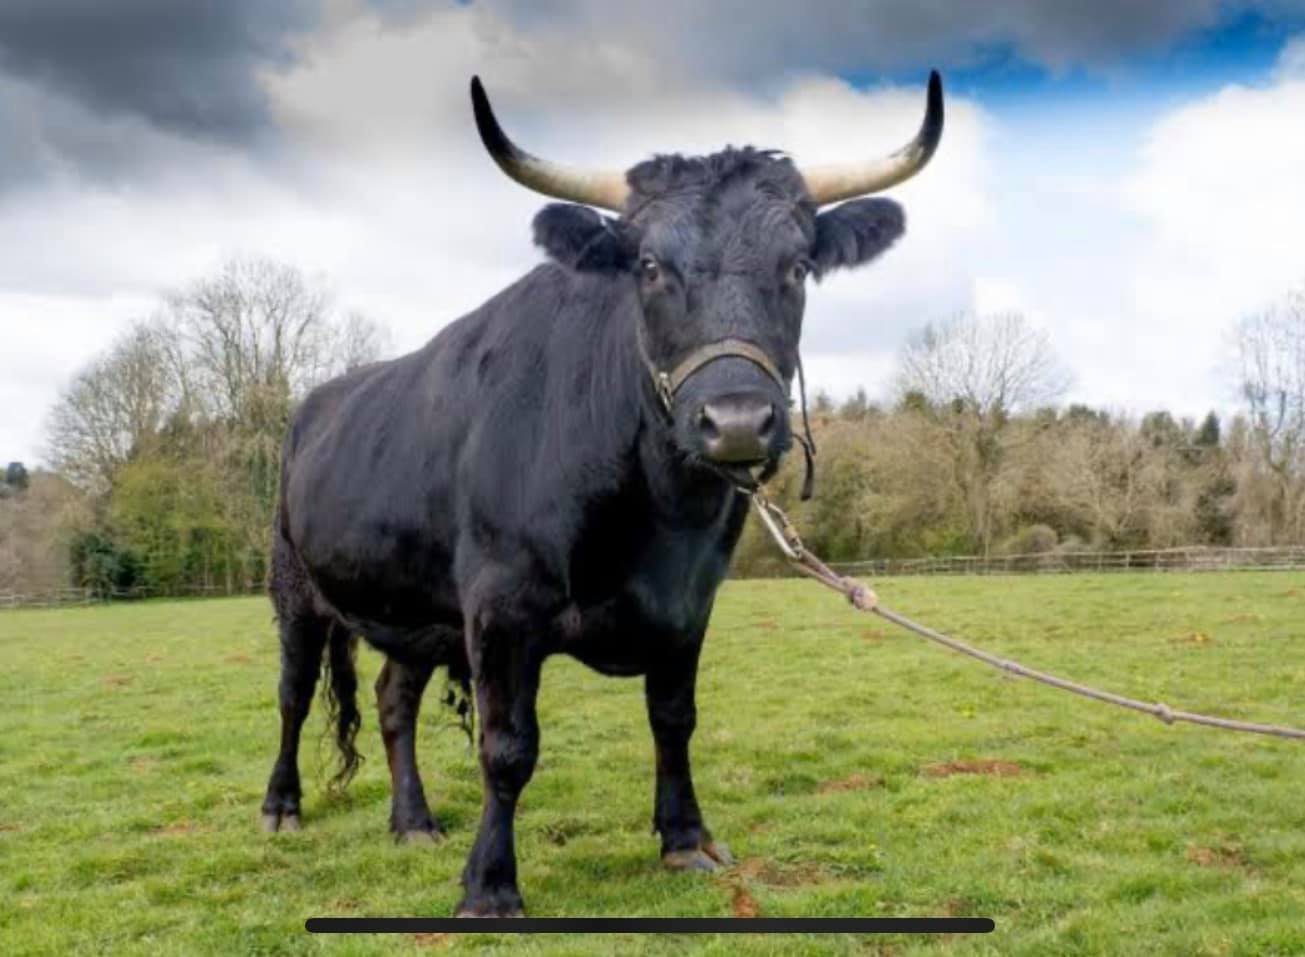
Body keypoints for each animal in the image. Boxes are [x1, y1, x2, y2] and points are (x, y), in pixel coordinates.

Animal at [259, 73, 944, 917]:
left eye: (796, 265)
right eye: (648, 265)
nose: (736, 421)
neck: (655, 517)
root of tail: (315, 402)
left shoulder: (690, 603)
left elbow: (674, 717)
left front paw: (685, 837)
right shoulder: (500, 605)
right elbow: (507, 747)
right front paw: (489, 884)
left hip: (412, 608)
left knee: (394, 700)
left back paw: (413, 821)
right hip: (293, 588)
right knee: (292, 694)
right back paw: (282, 806)